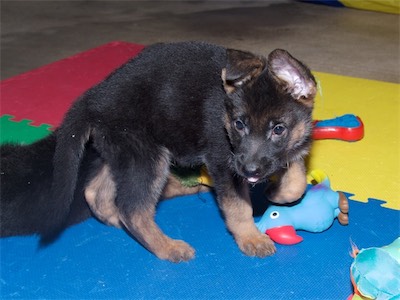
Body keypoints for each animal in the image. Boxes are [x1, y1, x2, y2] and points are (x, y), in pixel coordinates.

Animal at [1, 41, 318, 262]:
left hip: (121, 151)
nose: (250, 171)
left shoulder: (288, 149)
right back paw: (167, 247)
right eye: (239, 124)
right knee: (133, 209)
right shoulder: (224, 163)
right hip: (148, 156)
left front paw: (279, 193)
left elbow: (297, 177)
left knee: (96, 192)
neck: (225, 114)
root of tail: (93, 97)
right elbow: (238, 207)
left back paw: (116, 221)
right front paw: (251, 238)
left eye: (278, 129)